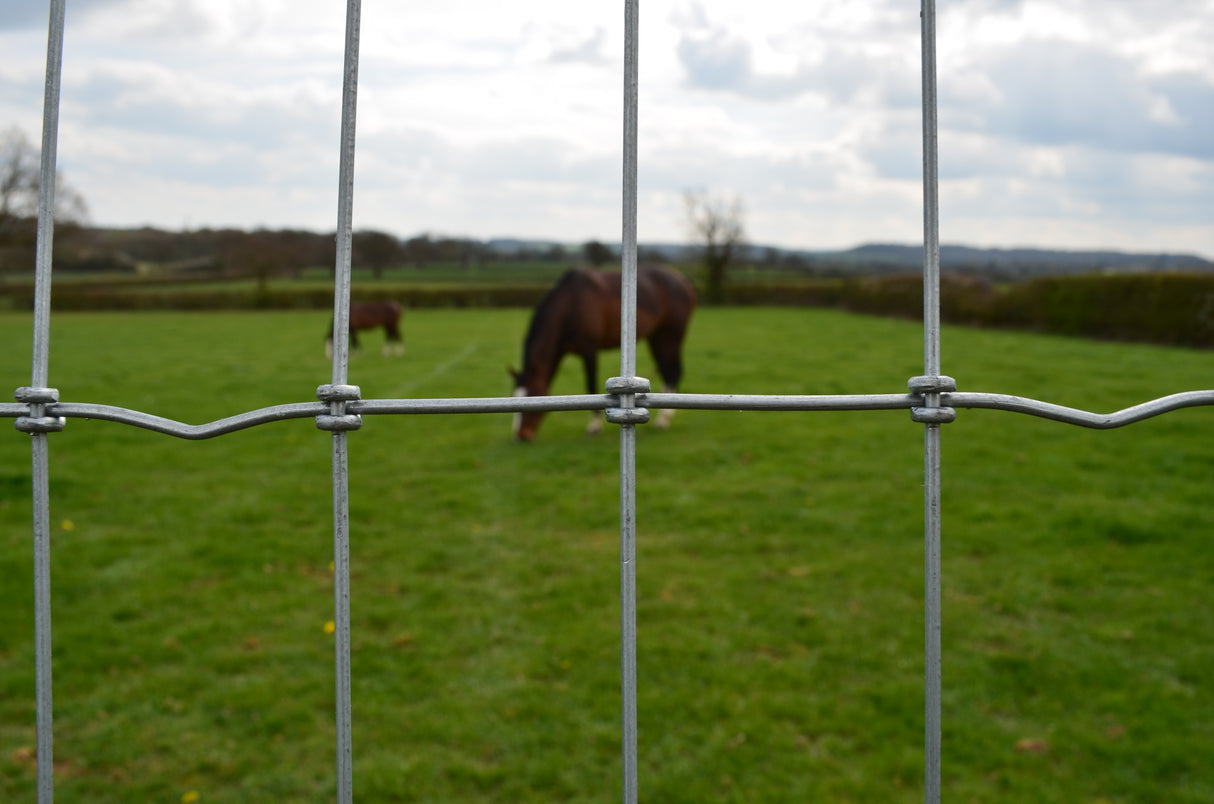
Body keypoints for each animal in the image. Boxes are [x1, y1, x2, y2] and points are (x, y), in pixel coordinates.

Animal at [510, 263, 696, 442]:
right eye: (515, 396)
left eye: (532, 394)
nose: (521, 435)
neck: (571, 303)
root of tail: (683, 283)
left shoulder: (589, 352)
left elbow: (591, 385)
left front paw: (594, 427)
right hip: (656, 339)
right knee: (667, 372)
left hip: (670, 338)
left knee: (673, 372)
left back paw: (664, 420)